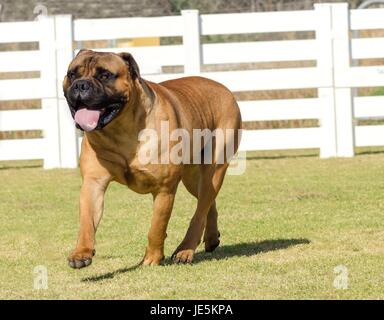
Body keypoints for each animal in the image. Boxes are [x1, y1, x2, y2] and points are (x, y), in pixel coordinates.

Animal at [63, 49, 243, 268]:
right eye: (72, 74)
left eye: (105, 75)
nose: (80, 85)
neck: (120, 129)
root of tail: (223, 87)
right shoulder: (93, 183)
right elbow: (87, 221)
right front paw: (81, 253)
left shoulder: (164, 189)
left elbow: (156, 227)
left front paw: (152, 259)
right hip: (192, 178)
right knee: (207, 201)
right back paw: (211, 238)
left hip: (214, 169)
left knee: (201, 209)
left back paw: (185, 250)